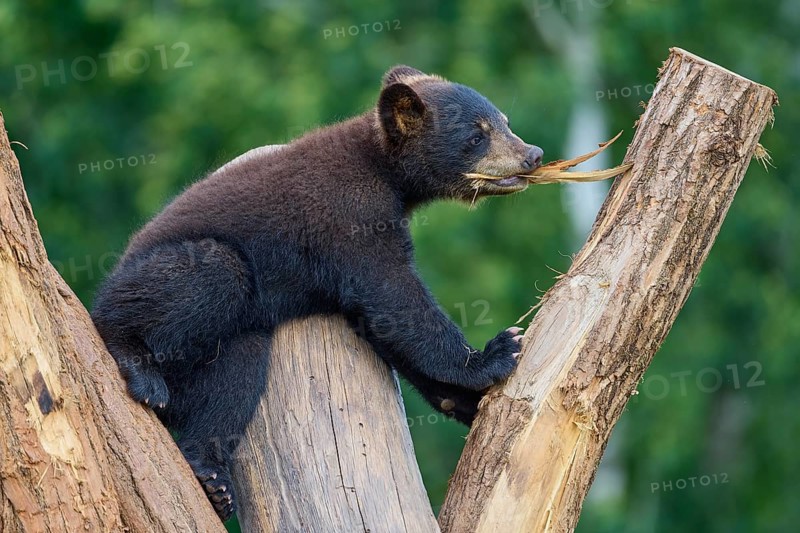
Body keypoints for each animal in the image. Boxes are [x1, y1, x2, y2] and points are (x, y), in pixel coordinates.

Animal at [91, 65, 544, 521]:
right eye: (477, 135)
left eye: (503, 121)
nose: (533, 154)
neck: (383, 169)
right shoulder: (351, 218)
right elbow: (394, 297)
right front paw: (495, 354)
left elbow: (385, 327)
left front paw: (464, 400)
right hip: (177, 271)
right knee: (203, 279)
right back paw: (138, 365)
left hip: (231, 344)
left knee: (234, 380)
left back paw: (211, 478)